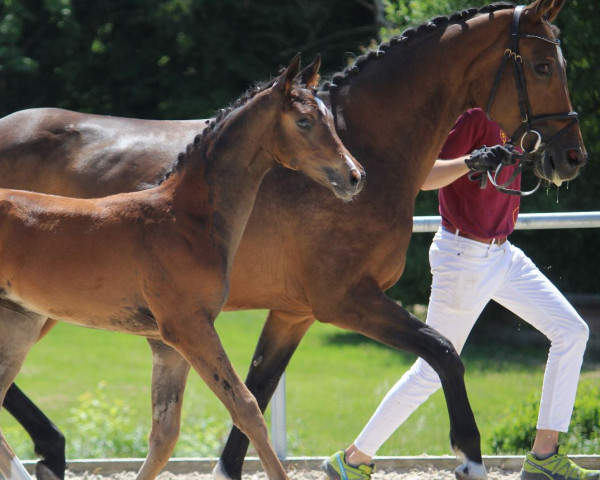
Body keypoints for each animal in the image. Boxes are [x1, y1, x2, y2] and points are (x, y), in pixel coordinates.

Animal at [0, 54, 360, 480]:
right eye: (304, 121)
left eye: (329, 118)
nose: (354, 176)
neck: (185, 220)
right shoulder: (189, 327)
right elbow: (246, 407)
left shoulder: (166, 345)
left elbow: (164, 435)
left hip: (19, 325)